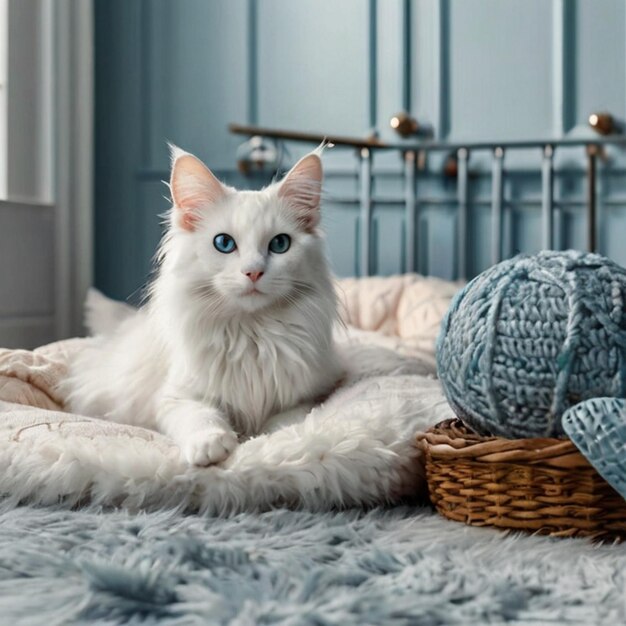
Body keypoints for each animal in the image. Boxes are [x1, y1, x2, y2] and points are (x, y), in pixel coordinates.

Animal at [64, 147, 342, 464]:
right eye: (224, 243)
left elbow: (284, 422)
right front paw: (211, 446)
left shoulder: (308, 396)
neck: (251, 334)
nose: (254, 272)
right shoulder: (175, 396)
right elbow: (200, 416)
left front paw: (268, 441)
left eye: (280, 244)